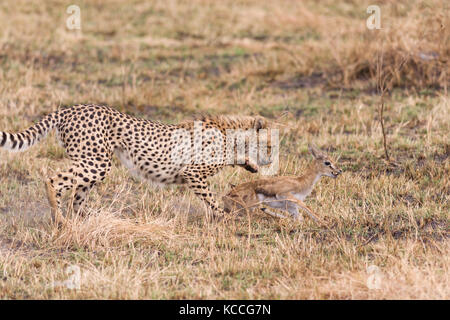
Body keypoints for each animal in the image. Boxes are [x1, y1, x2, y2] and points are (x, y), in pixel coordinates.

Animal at [0, 105, 274, 222]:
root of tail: (69, 108)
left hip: (92, 162)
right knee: (53, 180)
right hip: (97, 162)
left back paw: (90, 218)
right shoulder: (192, 173)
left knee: (77, 197)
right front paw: (224, 215)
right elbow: (210, 197)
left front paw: (250, 165)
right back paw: (59, 219)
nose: (271, 158)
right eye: (270, 145)